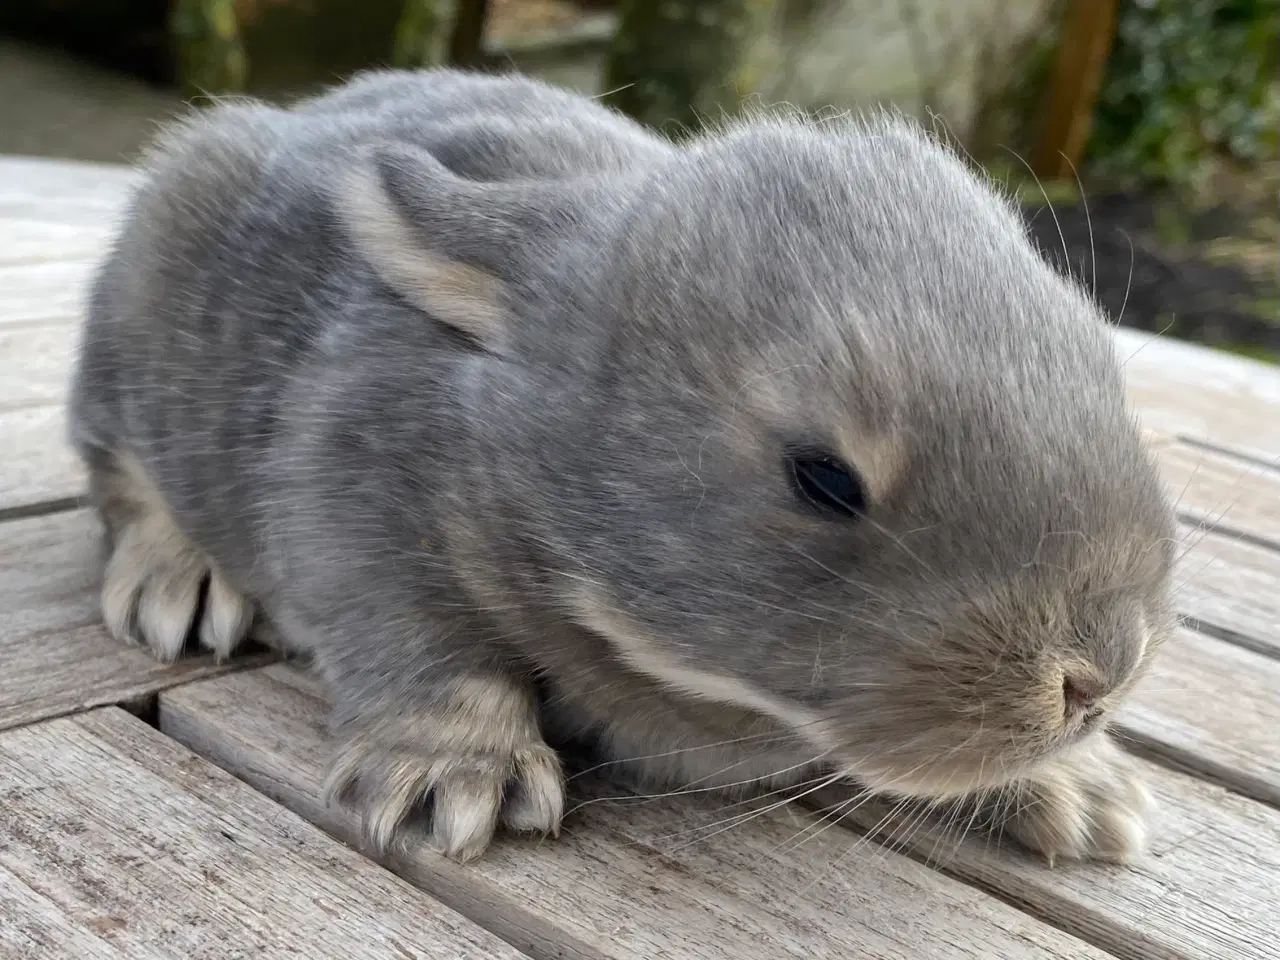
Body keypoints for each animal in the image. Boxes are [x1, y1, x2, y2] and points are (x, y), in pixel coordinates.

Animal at [67, 65, 1172, 865]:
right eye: (822, 478)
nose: (1098, 679)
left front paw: (1081, 786)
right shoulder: (350, 497)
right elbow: (426, 641)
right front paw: (450, 776)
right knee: (121, 470)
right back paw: (179, 578)